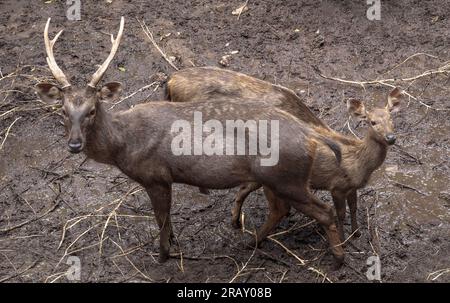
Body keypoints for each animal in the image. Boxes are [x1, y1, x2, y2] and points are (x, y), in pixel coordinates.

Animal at [36, 19, 344, 266]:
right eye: (63, 110)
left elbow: (161, 220)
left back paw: (338, 259)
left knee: (324, 211)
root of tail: (311, 135)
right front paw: (172, 245)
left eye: (91, 110)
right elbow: (167, 221)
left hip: (286, 177)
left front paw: (163, 256)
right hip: (277, 178)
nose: (74, 145)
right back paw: (250, 242)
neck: (124, 144)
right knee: (281, 209)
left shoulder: (156, 176)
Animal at [166, 67, 404, 242]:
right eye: (372, 122)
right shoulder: (338, 186)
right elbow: (341, 211)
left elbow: (353, 207)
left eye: (392, 118)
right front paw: (345, 238)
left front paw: (356, 234)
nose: (392, 137)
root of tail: (170, 81)